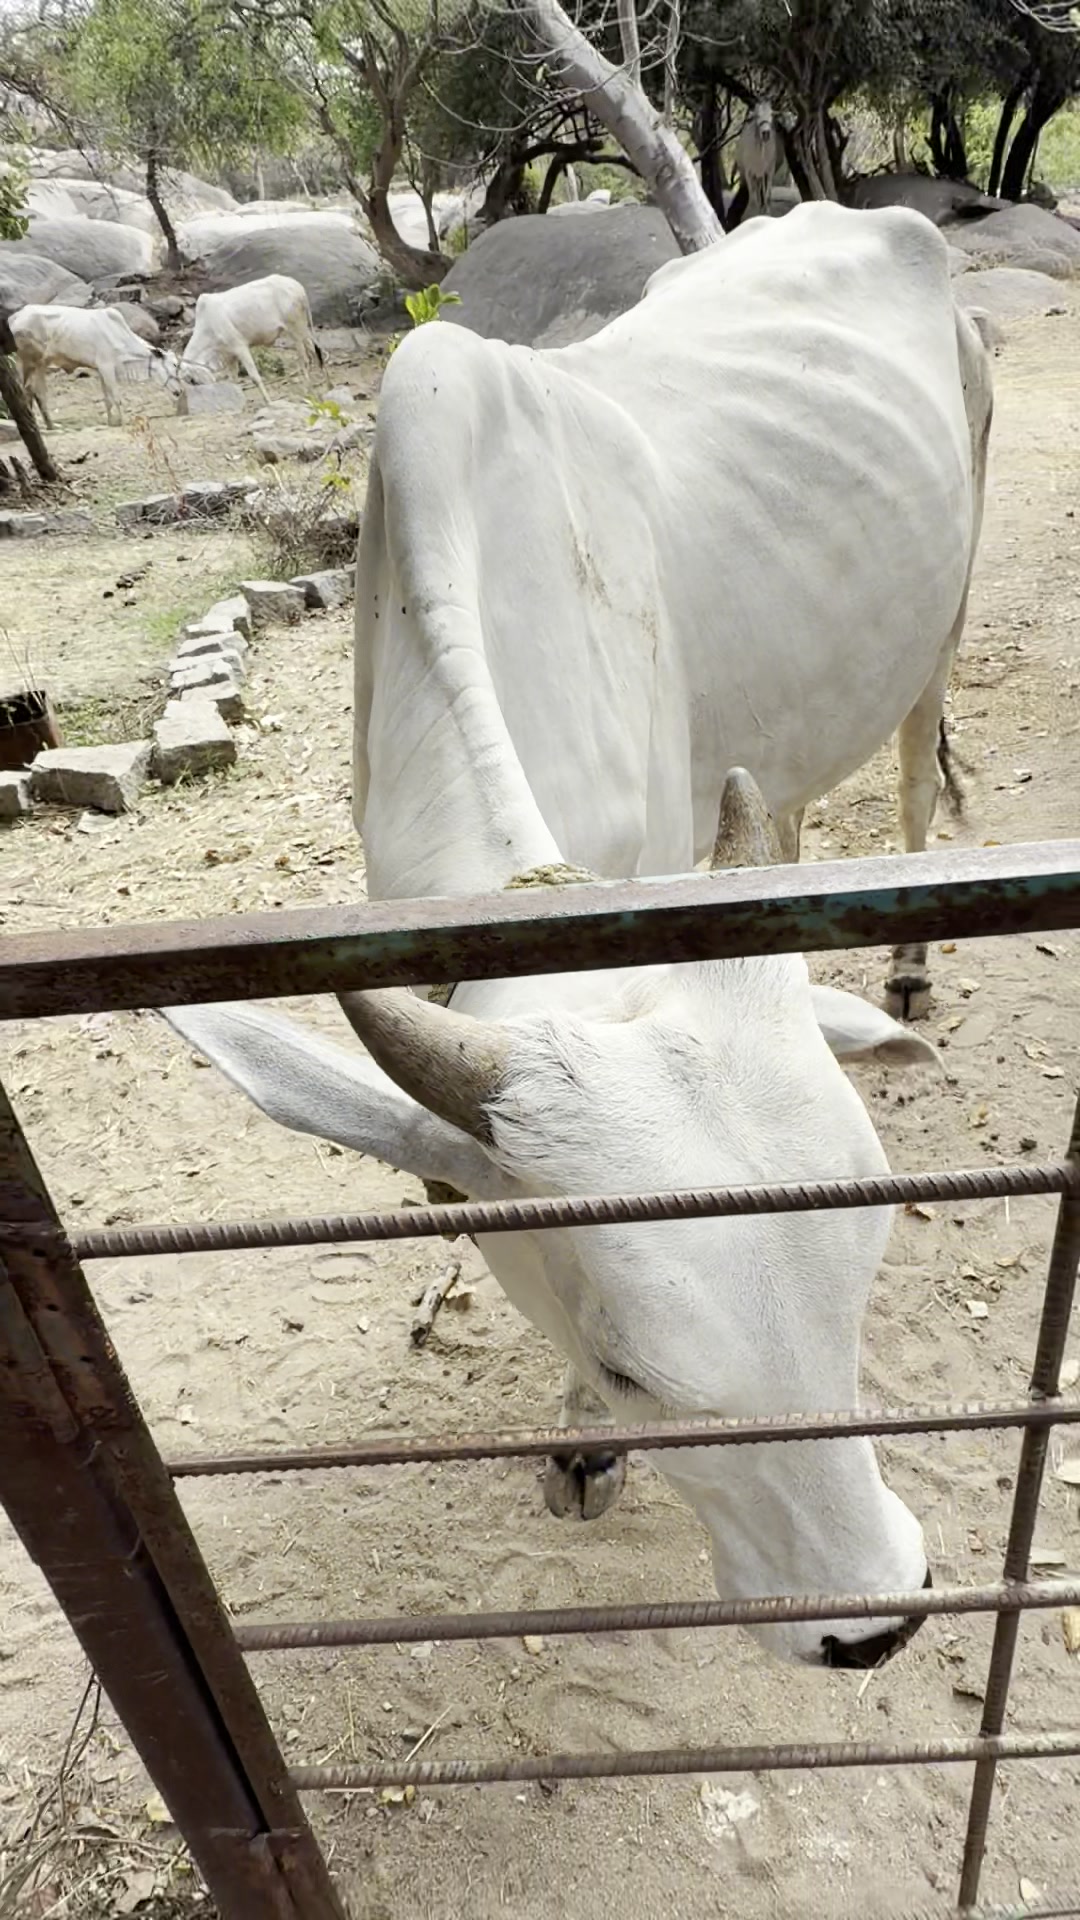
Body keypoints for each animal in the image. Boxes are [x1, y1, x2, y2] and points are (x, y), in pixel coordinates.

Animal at [8, 304, 181, 428]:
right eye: (173, 364)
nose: (179, 391)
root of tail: (15, 317)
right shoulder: (107, 367)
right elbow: (116, 397)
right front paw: (122, 421)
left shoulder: (101, 370)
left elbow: (107, 399)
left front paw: (111, 422)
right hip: (29, 361)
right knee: (28, 391)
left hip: (39, 364)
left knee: (35, 392)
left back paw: (48, 425)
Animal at [179, 274, 323, 401]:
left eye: (192, 380)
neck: (208, 325)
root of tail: (297, 287)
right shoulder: (230, 356)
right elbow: (233, 381)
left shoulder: (240, 347)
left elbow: (254, 377)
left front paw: (269, 401)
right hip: (302, 329)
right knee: (314, 352)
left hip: (295, 330)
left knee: (305, 360)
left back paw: (308, 390)